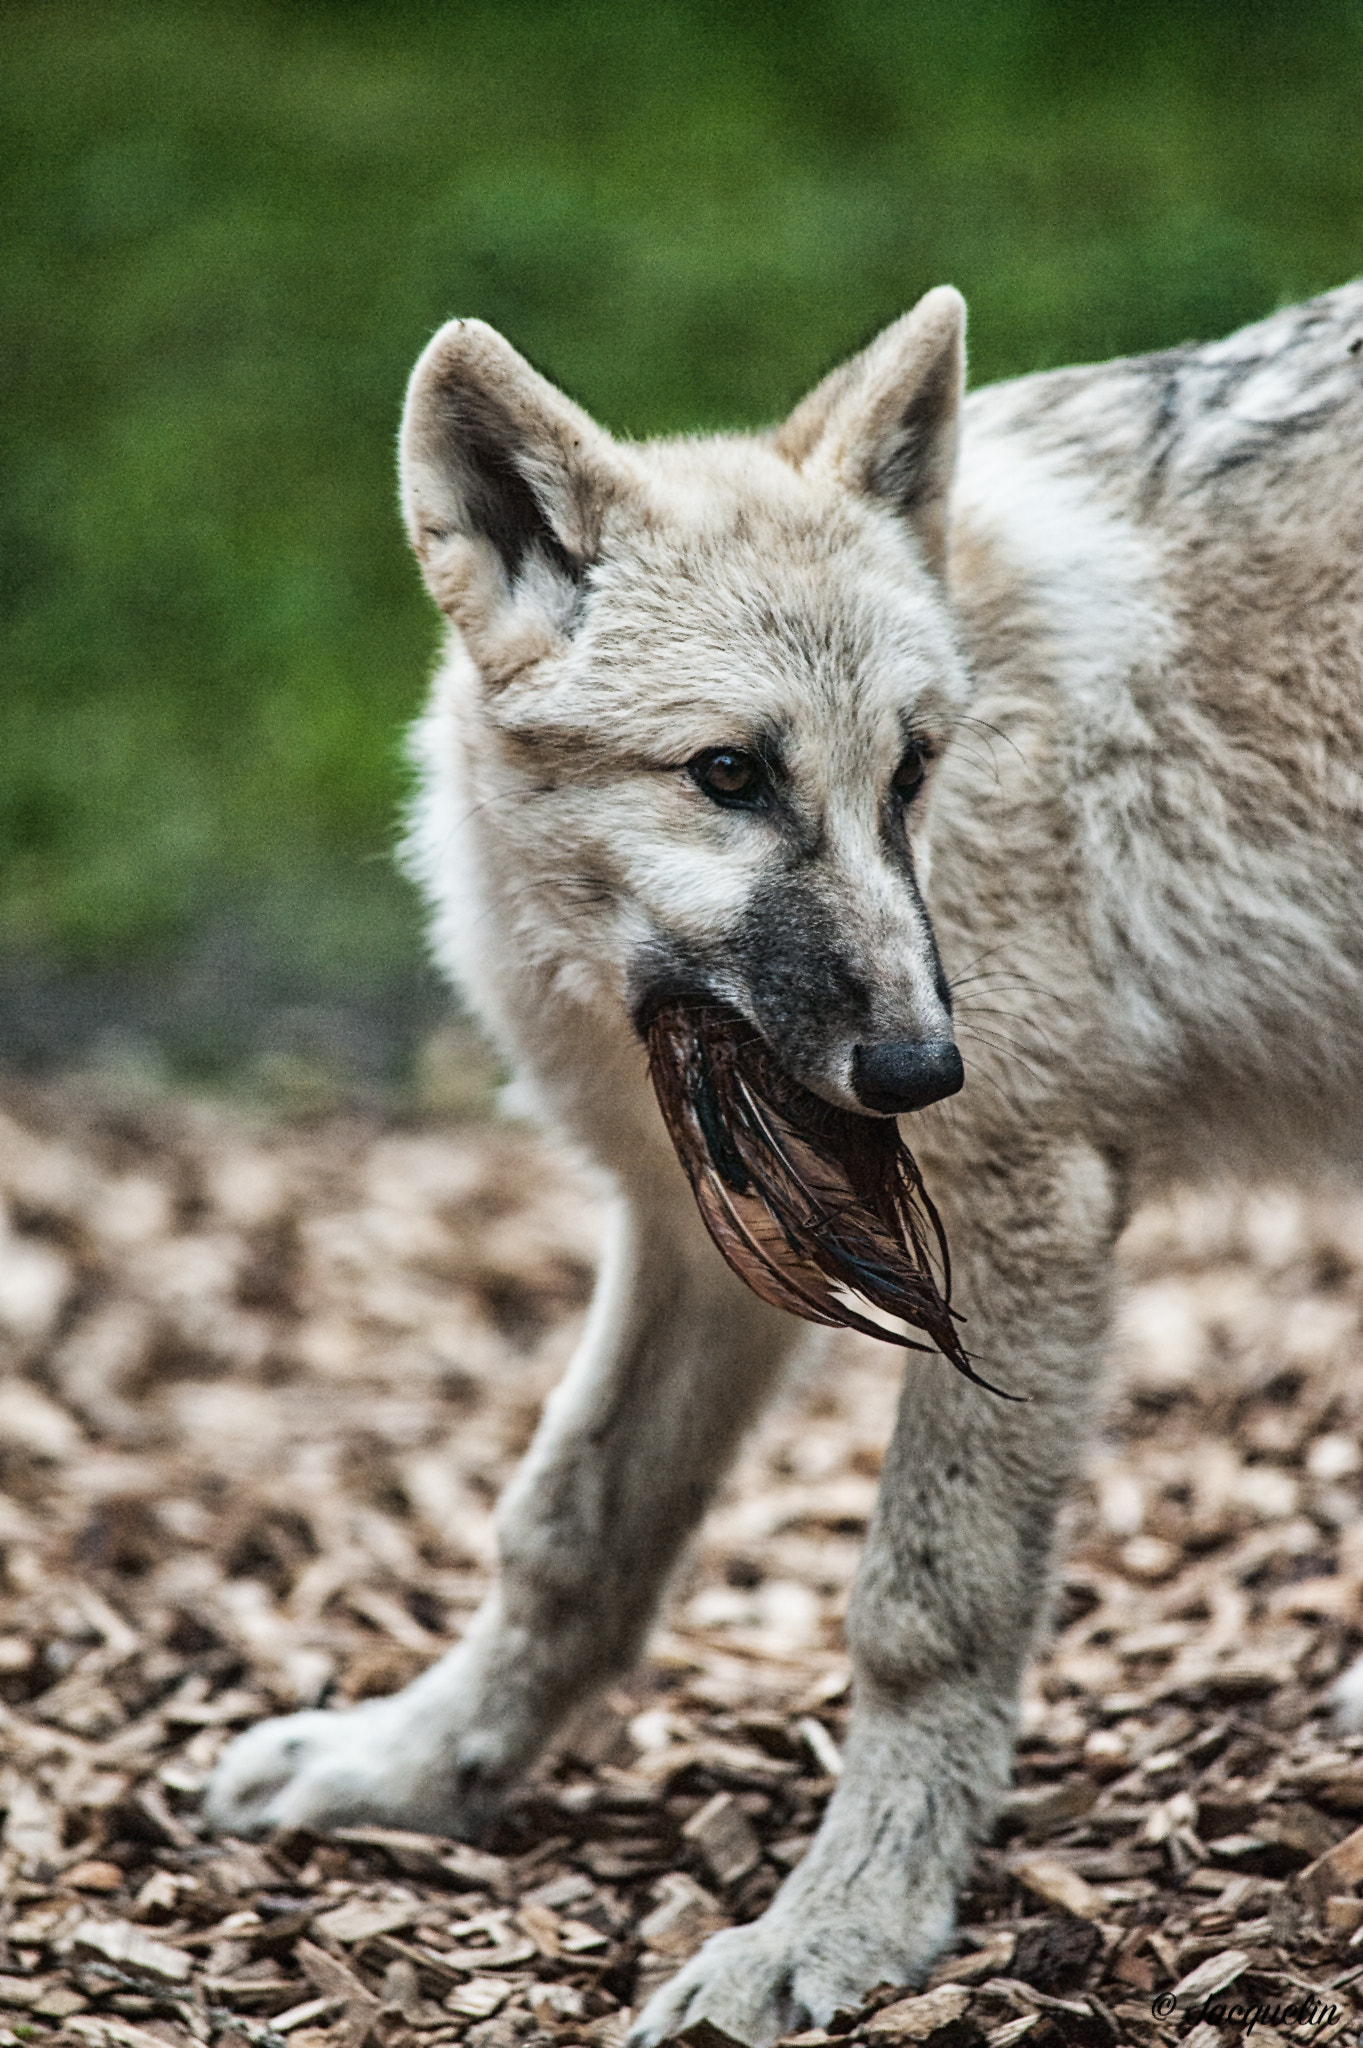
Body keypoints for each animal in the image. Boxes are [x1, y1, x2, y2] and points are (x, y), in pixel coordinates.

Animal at [206, 280, 1358, 2039]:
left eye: (908, 773)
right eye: (729, 776)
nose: (921, 1069)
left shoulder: (1011, 1229)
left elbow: (920, 1609)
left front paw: (841, 1929)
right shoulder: (694, 1239)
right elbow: (565, 1527)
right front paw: (415, 1766)